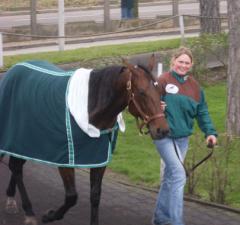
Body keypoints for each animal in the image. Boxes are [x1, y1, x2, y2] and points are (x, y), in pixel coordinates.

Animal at [0, 54, 169, 225]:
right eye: (141, 92)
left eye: (160, 90)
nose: (163, 130)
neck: (91, 107)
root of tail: (12, 71)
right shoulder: (66, 159)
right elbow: (71, 196)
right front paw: (50, 215)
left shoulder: (99, 159)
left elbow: (95, 195)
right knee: (15, 167)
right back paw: (28, 211)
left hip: (26, 140)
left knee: (16, 166)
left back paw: (12, 199)